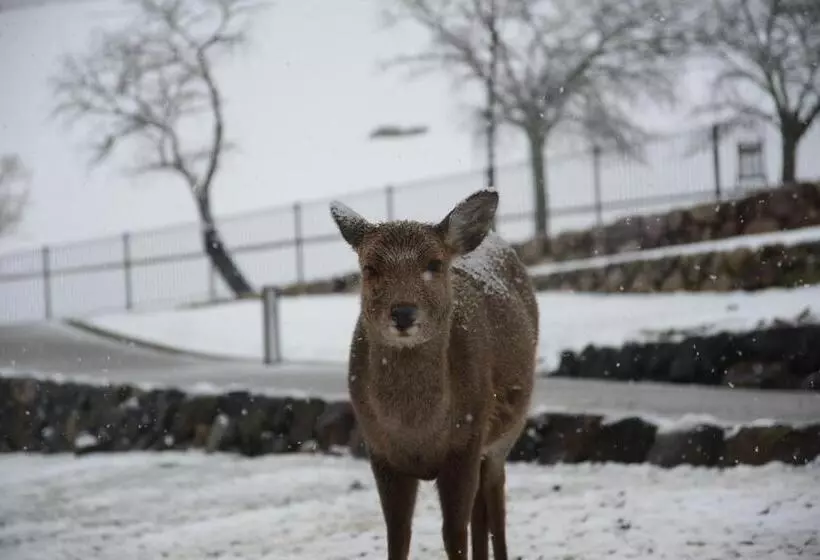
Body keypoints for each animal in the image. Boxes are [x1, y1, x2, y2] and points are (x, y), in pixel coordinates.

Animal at [329, 189, 539, 560]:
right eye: (370, 268)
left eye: (434, 265)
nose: (403, 313)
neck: (417, 433)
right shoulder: (379, 449)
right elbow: (398, 534)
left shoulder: (465, 441)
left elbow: (453, 534)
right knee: (481, 510)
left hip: (506, 433)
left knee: (495, 500)